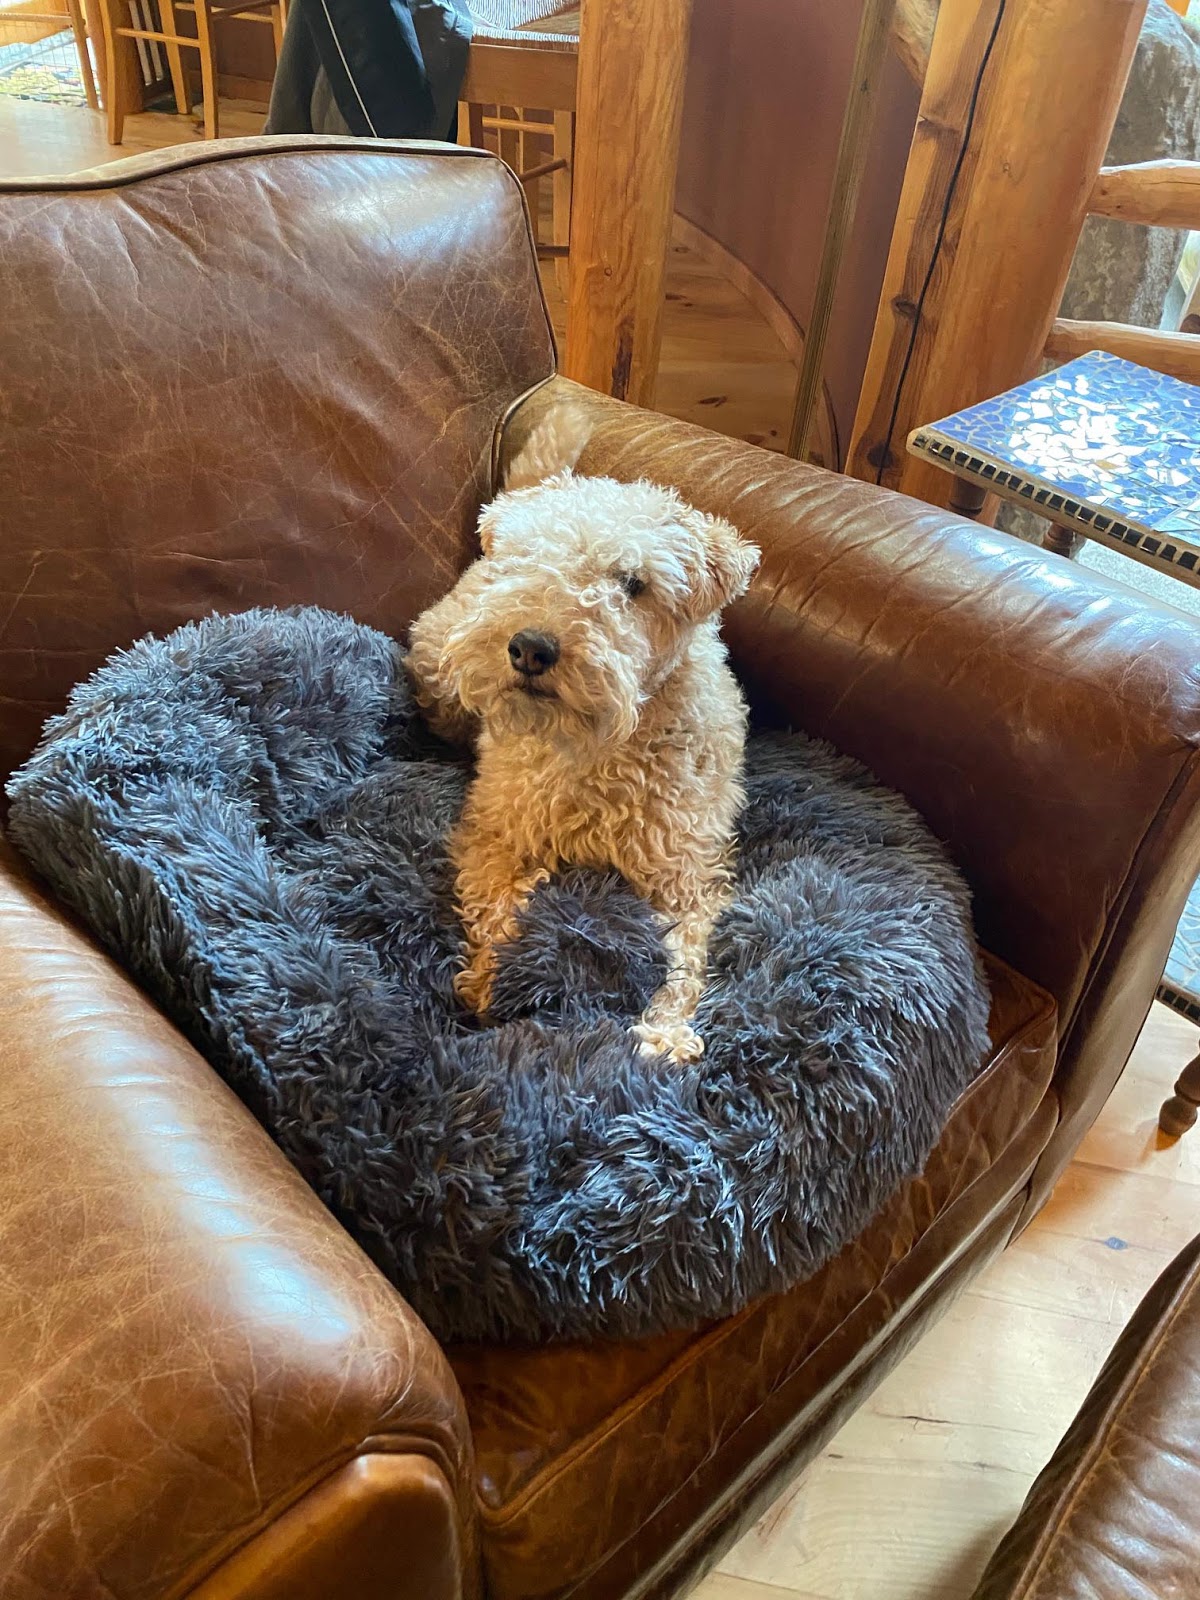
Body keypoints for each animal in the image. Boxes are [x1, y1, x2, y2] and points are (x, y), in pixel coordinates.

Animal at [406, 411, 760, 1061]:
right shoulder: (493, 835)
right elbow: (499, 903)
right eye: (527, 558)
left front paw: (663, 1034)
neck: (597, 751)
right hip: (440, 678)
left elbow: (681, 960)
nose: (529, 647)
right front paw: (492, 979)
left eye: (634, 583)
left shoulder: (684, 878)